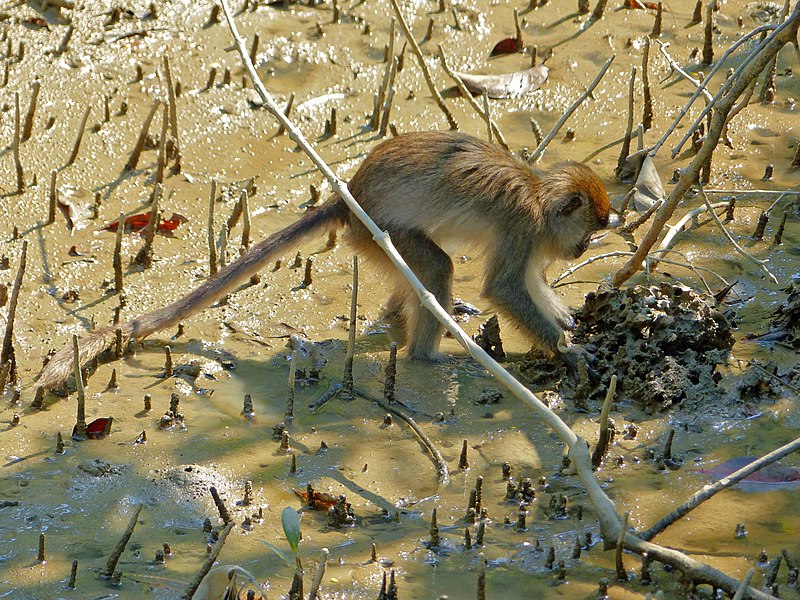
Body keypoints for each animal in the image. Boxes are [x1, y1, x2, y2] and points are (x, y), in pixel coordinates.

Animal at [36, 132, 612, 392]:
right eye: (588, 230)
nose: (584, 250)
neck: (538, 194)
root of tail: (349, 195)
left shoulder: (534, 238)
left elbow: (529, 284)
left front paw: (567, 324)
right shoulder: (522, 226)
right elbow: (504, 288)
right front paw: (570, 351)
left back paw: (400, 323)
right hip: (378, 233)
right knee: (436, 268)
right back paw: (426, 355)